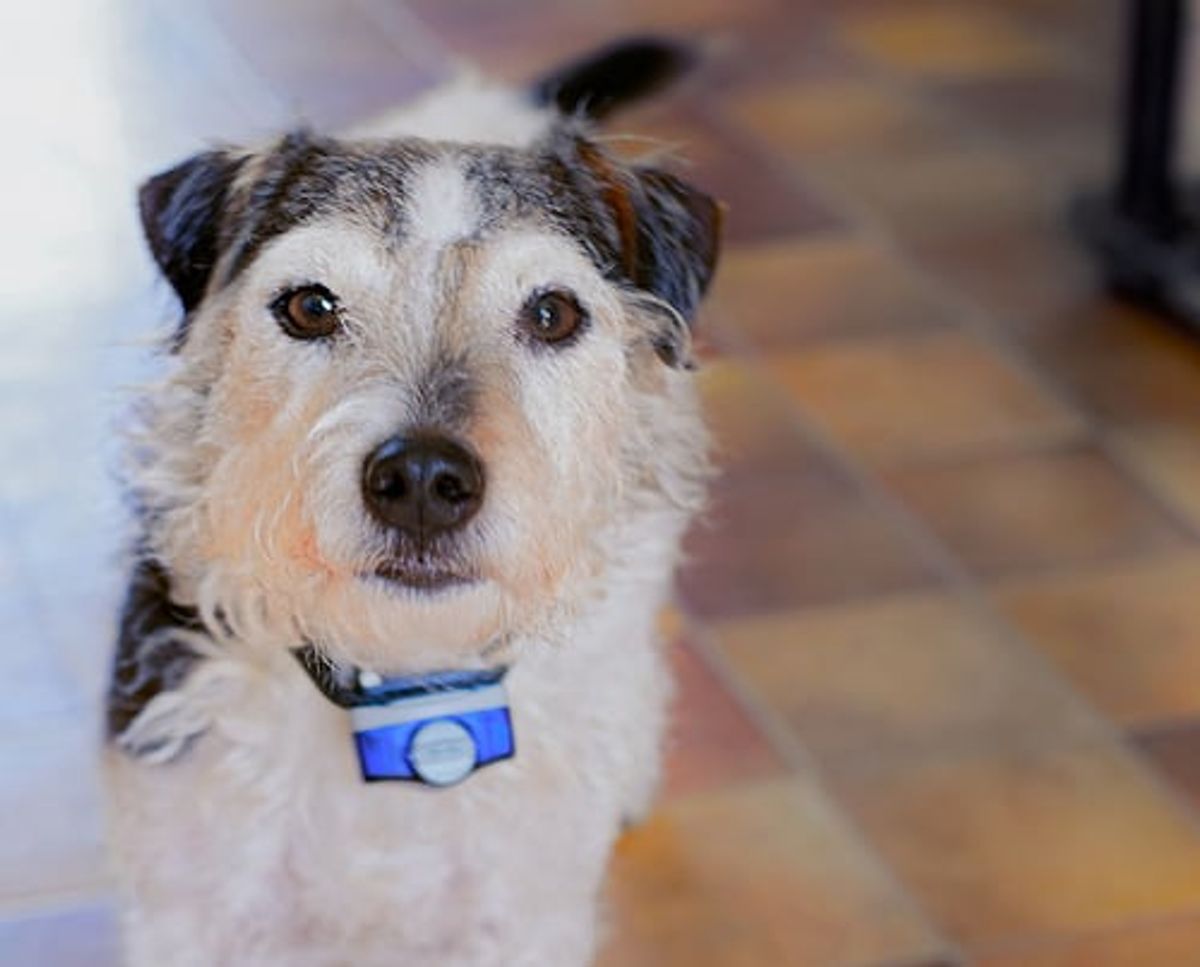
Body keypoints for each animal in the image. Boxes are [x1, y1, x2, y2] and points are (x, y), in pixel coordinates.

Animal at [103, 39, 715, 967]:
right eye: (310, 305)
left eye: (552, 311)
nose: (423, 482)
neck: (400, 686)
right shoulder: (190, 902)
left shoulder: (523, 916)